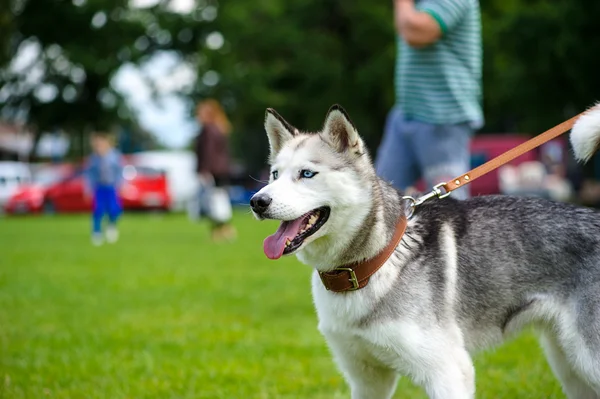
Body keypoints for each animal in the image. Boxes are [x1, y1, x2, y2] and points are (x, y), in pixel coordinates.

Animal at [251, 104, 600, 398]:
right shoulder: (367, 379)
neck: (372, 265)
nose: (257, 201)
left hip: (586, 359)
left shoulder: (449, 373)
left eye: (307, 174)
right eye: (274, 174)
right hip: (570, 366)